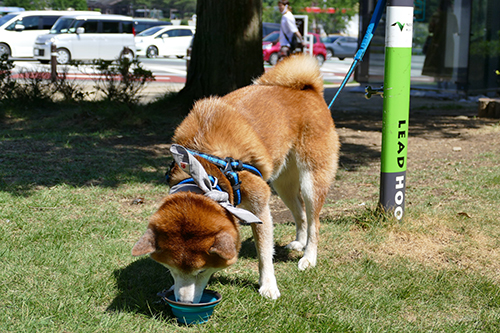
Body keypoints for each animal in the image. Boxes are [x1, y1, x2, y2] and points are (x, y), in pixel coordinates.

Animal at [133, 53, 340, 302]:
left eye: (201, 271)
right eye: (171, 269)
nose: (185, 302)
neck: (207, 169)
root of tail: (308, 89)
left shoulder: (260, 206)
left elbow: (264, 253)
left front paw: (268, 285)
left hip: (311, 180)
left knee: (314, 222)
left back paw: (309, 257)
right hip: (282, 184)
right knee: (300, 213)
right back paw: (299, 243)